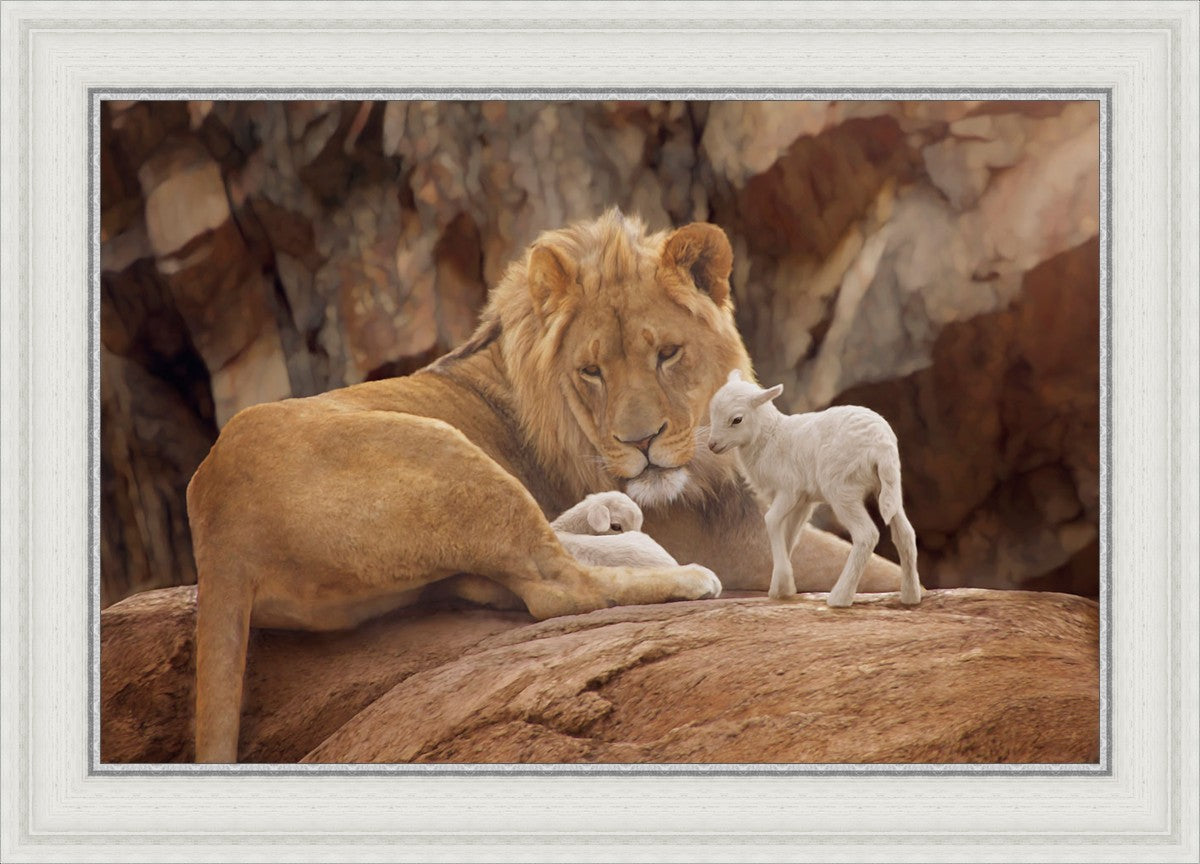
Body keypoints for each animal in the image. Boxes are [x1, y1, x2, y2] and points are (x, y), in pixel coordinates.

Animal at [706, 370, 922, 608]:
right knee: (905, 534)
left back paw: (839, 597)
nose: (712, 445)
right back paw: (911, 596)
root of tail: (881, 445)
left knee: (866, 535)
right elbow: (789, 534)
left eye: (737, 419)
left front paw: (782, 583)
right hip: (888, 486)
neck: (770, 437)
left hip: (842, 489)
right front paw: (782, 587)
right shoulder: (803, 501)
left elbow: (771, 521)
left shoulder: (789, 489)